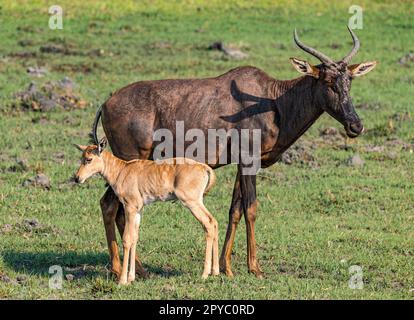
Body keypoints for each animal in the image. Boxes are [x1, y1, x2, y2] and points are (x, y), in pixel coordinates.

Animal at [73, 139, 218, 284]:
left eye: (89, 159)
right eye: (82, 157)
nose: (77, 178)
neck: (122, 170)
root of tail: (203, 168)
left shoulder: (130, 207)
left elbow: (127, 238)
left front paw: (123, 281)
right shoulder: (138, 210)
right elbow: (134, 237)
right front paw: (131, 277)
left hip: (191, 202)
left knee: (208, 224)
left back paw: (205, 273)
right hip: (197, 202)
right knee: (214, 222)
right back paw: (215, 272)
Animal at [91, 26, 378, 278]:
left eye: (349, 80)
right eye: (327, 81)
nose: (355, 126)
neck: (272, 100)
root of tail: (106, 103)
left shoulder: (241, 162)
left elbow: (235, 210)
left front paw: (226, 268)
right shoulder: (249, 161)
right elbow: (251, 208)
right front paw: (255, 269)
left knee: (112, 207)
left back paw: (137, 270)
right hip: (130, 159)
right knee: (111, 206)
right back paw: (122, 270)